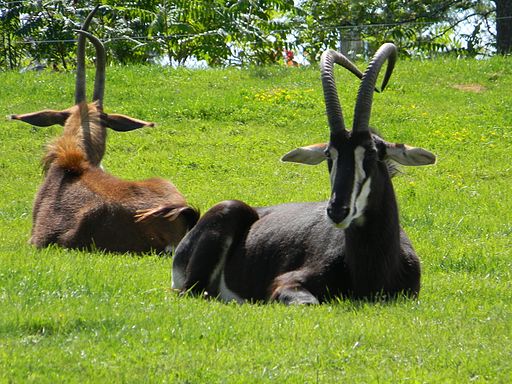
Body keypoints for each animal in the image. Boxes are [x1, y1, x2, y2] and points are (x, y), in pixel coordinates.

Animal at [173, 43, 436, 304]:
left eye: (371, 153)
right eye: (329, 155)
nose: (337, 211)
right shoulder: (287, 284)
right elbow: (308, 302)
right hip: (223, 221)